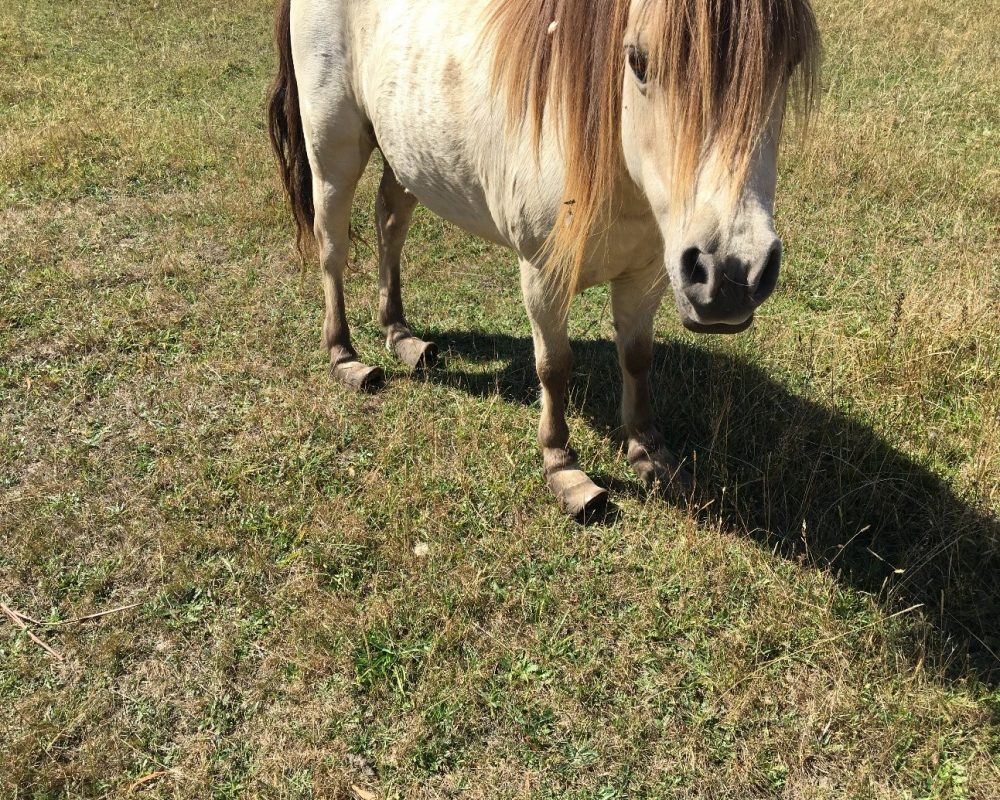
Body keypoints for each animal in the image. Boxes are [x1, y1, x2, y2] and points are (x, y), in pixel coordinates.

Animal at [268, 0, 820, 520]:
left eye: (788, 62)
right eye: (638, 61)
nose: (730, 277)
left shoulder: (646, 276)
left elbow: (637, 358)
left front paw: (650, 452)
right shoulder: (543, 274)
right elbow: (554, 366)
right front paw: (563, 468)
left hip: (406, 152)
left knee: (390, 224)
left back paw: (402, 336)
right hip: (333, 149)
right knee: (333, 249)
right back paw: (345, 355)